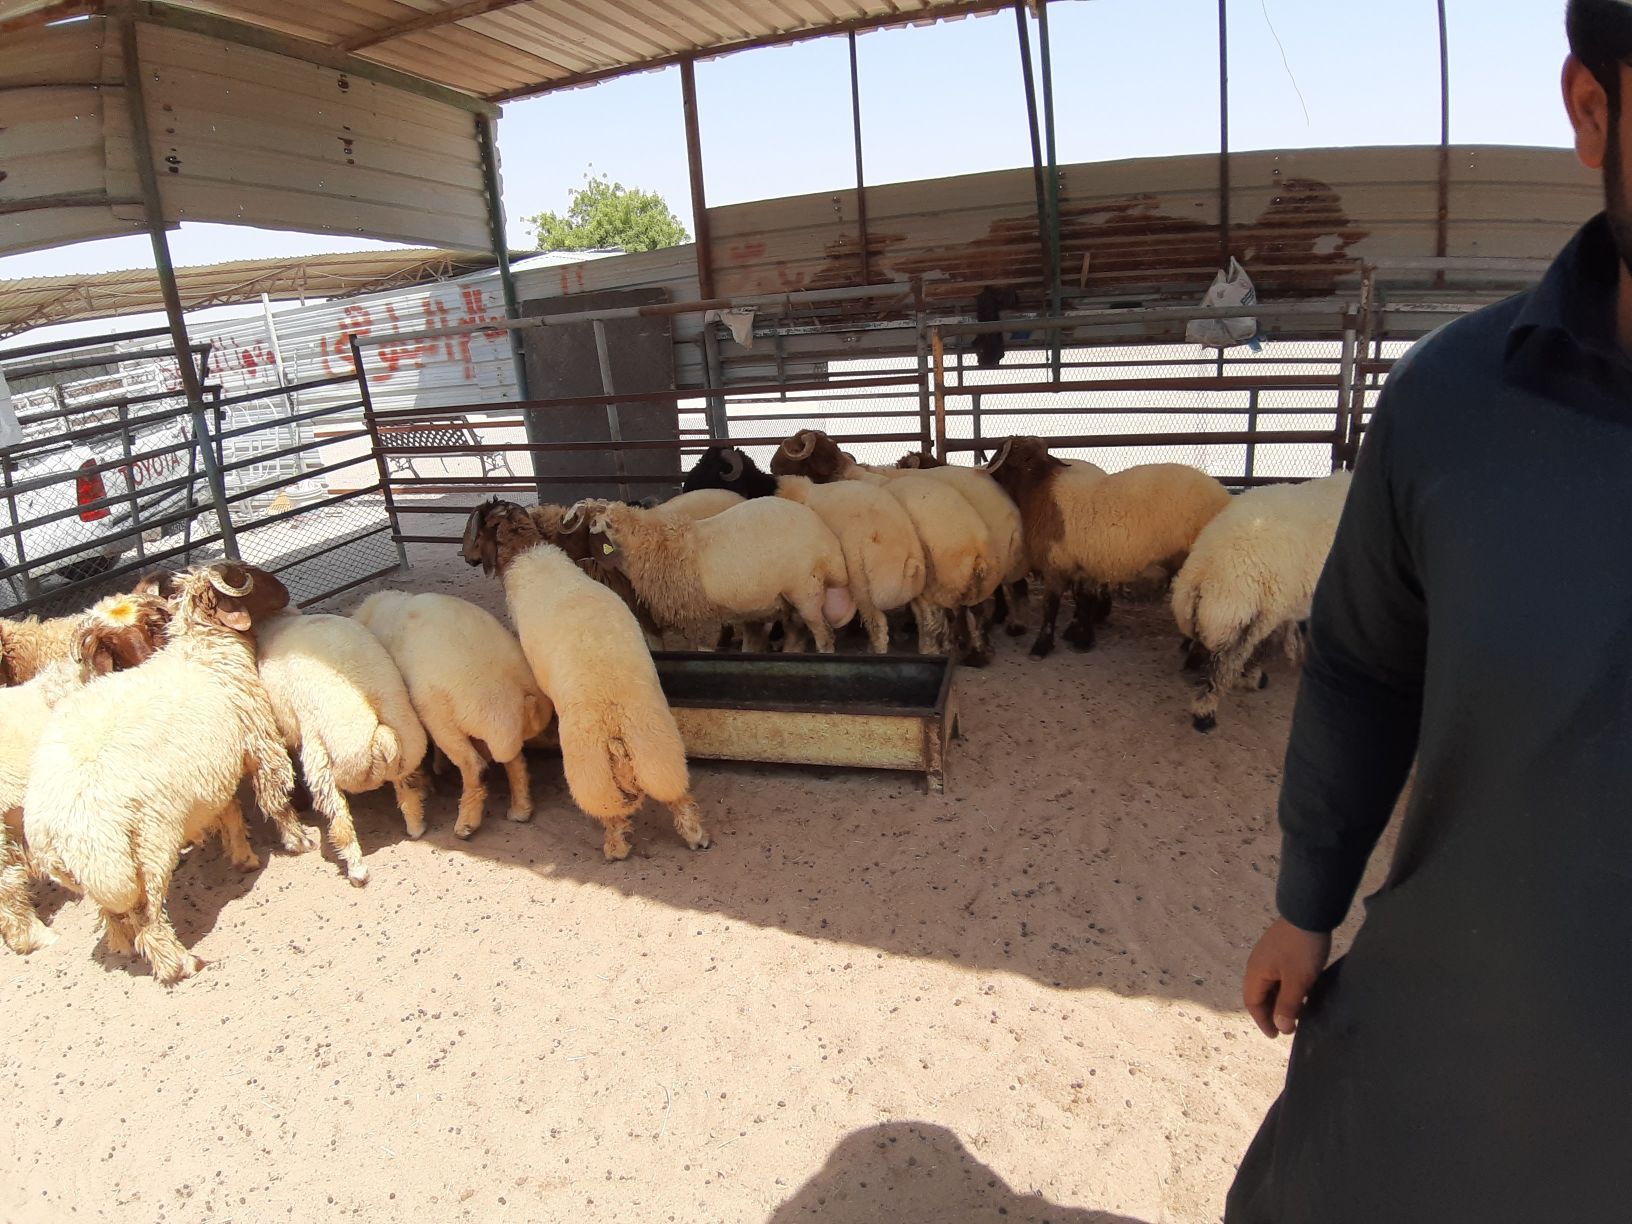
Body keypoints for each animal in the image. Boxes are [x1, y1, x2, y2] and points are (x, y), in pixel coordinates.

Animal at [24, 564, 316, 984]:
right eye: (248, 578)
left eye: (152, 623)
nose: (287, 592)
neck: (204, 652)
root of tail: (57, 828)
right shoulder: (259, 740)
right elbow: (273, 796)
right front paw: (299, 839)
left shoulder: (212, 768)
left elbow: (228, 811)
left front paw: (244, 857)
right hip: (146, 849)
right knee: (148, 918)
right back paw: (179, 963)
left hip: (99, 874)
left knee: (113, 911)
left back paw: (121, 944)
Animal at [254, 608, 429, 884]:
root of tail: (380, 735)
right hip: (407, 746)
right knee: (408, 792)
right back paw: (416, 829)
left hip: (322, 761)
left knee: (341, 824)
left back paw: (357, 871)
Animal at [353, 590, 552, 839]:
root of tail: (521, 694)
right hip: (499, 733)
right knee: (515, 762)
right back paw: (520, 810)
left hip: (445, 721)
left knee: (475, 768)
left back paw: (465, 825)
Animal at [461, 500, 708, 861]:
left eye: (475, 530)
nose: (465, 557)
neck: (528, 552)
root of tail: (617, 730)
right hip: (659, 752)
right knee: (677, 795)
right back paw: (696, 836)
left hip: (591, 772)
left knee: (611, 813)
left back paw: (615, 848)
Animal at [985, 436, 1231, 659]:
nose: (988, 477)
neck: (1039, 491)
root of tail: (1223, 494)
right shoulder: (1083, 564)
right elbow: (1084, 599)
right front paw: (1082, 638)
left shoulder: (1056, 563)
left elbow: (1051, 606)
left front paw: (1042, 646)